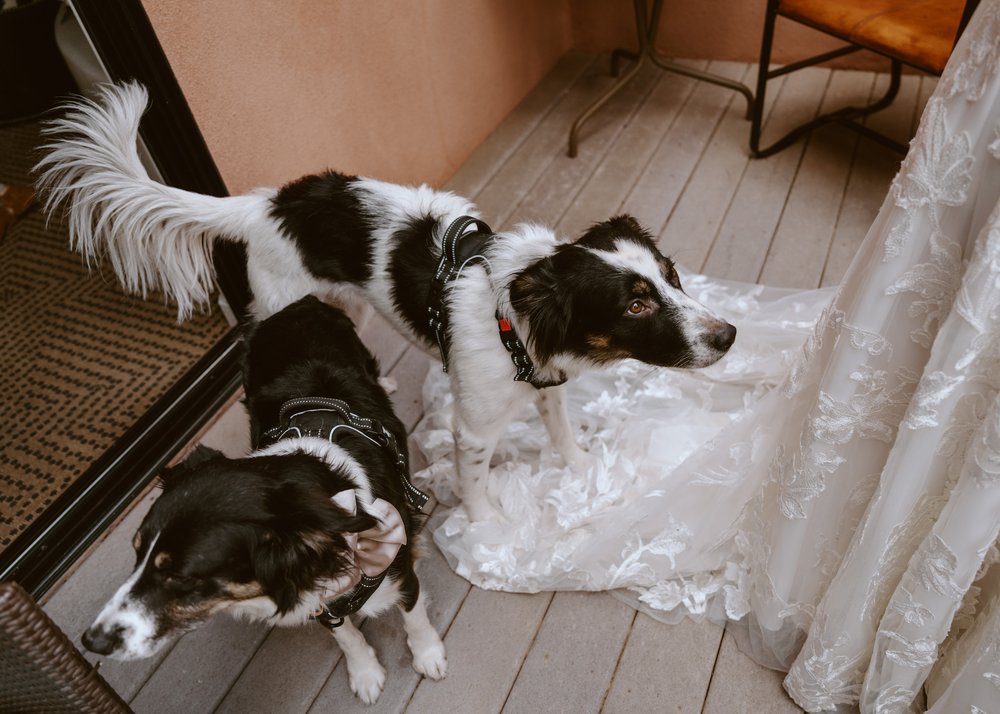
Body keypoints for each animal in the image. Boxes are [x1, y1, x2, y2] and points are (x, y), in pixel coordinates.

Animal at [37, 83, 736, 520]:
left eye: (672, 276)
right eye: (636, 306)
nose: (729, 336)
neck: (516, 328)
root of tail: (267, 203)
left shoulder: (549, 386)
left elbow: (562, 433)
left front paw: (581, 465)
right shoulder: (473, 429)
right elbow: (474, 484)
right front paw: (488, 529)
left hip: (350, 305)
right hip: (287, 303)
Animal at [80, 294, 448, 700]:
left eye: (182, 578)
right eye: (136, 554)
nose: (91, 641)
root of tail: (299, 304)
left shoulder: (400, 562)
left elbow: (413, 615)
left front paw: (429, 655)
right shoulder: (316, 597)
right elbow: (346, 636)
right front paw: (365, 673)